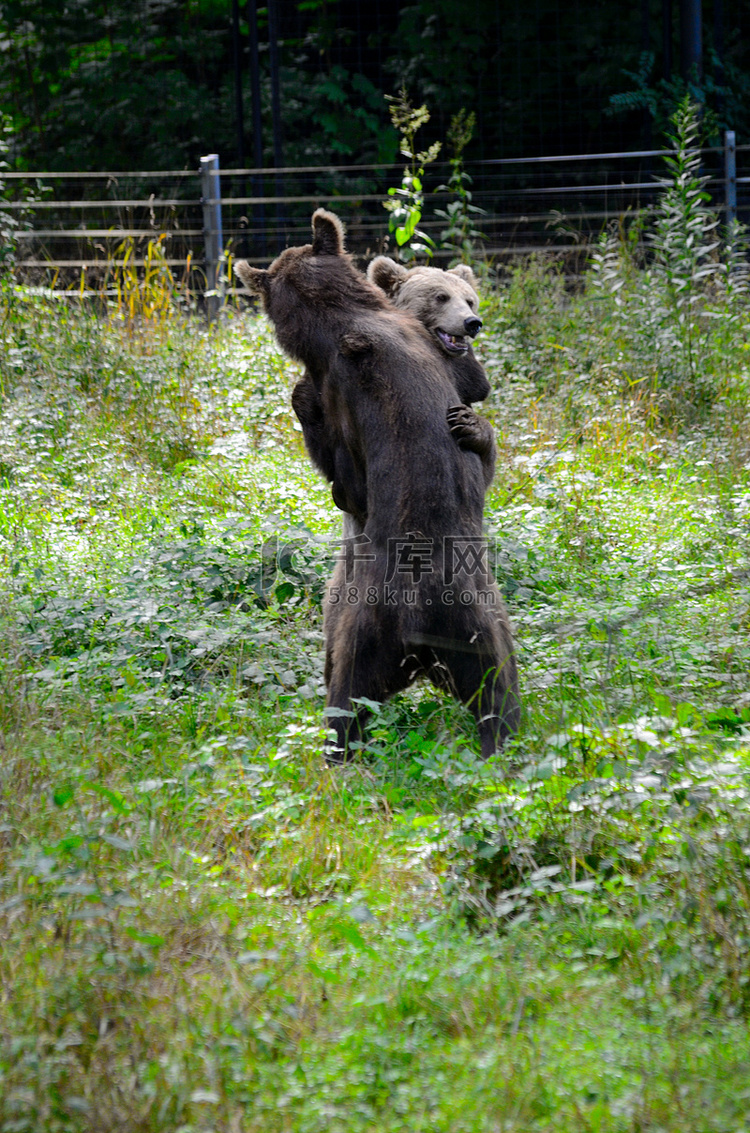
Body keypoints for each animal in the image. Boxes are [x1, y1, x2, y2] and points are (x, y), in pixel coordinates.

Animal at [236, 213, 523, 761]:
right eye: (440, 298)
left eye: (469, 301)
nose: (472, 324)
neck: (345, 319)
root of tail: (421, 618)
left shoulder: (341, 393)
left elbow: (345, 482)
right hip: (471, 622)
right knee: (497, 688)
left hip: (374, 625)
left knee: (350, 696)